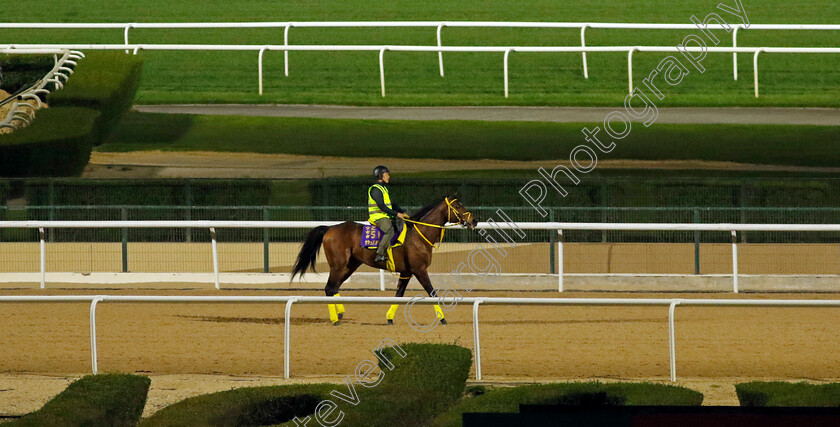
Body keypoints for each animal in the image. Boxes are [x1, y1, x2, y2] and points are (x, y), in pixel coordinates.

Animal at [290, 196, 476, 326]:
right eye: (458, 206)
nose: (474, 220)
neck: (418, 235)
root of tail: (330, 228)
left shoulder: (406, 272)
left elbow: (399, 295)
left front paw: (389, 318)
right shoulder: (419, 269)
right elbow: (432, 293)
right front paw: (443, 318)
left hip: (350, 265)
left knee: (334, 287)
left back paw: (340, 313)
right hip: (338, 265)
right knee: (329, 288)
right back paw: (335, 319)